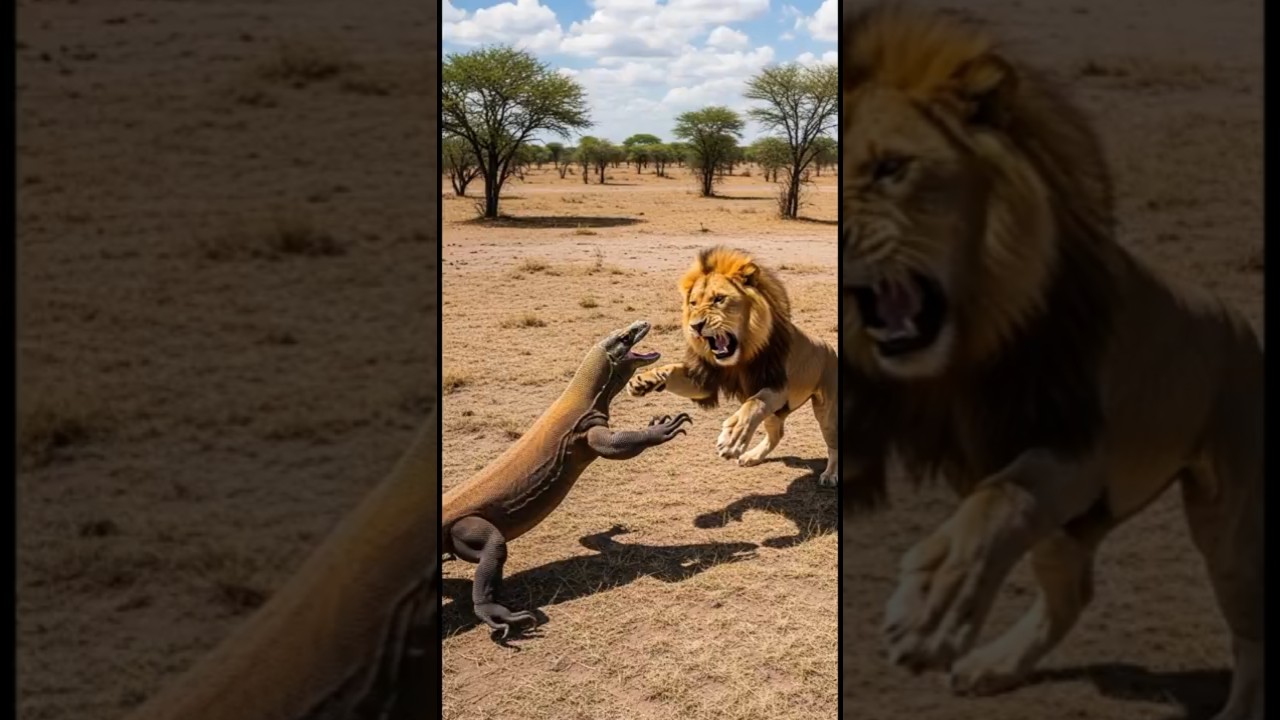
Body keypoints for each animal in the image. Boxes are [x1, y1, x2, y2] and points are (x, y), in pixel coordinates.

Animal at [627, 246, 840, 487]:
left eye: (719, 299)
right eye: (693, 303)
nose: (695, 326)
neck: (739, 358)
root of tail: (829, 347)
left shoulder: (778, 386)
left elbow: (754, 404)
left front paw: (732, 438)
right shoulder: (704, 381)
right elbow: (672, 370)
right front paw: (644, 380)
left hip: (826, 411)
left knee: (833, 444)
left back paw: (830, 474)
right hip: (776, 414)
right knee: (777, 434)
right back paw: (752, 456)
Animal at [842, 5, 1263, 720]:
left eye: (890, 168)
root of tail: (1241, 323)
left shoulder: (1076, 443)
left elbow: (999, 501)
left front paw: (931, 609)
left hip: (1227, 525)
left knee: (1252, 630)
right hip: (1072, 530)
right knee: (1073, 595)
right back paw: (993, 667)